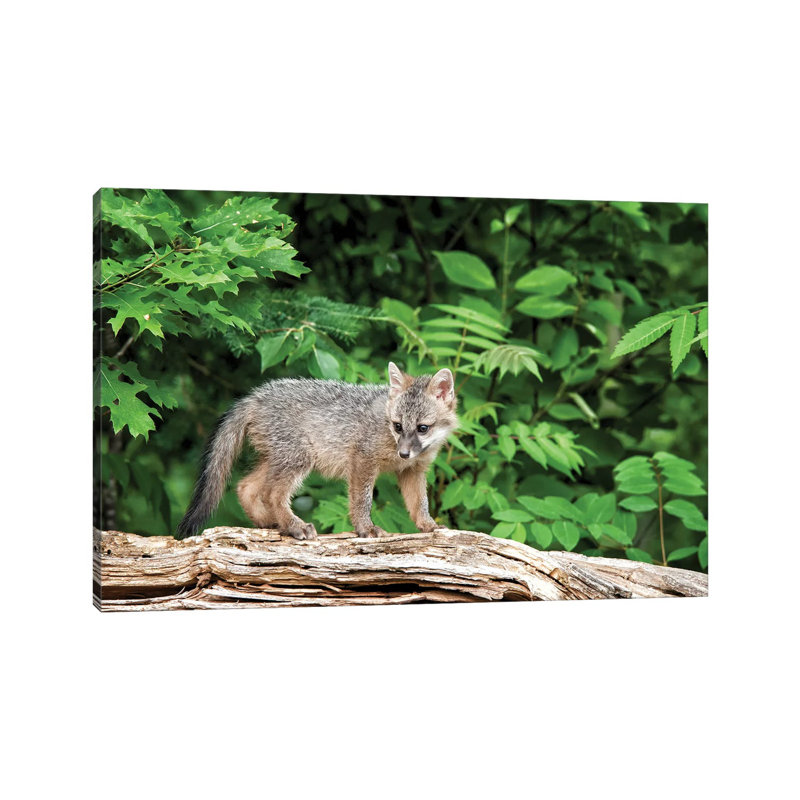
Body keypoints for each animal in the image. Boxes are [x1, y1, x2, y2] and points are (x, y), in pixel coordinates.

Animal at [175, 362, 459, 540]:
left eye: (422, 428)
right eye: (398, 426)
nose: (403, 454)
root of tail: (255, 395)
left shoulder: (413, 471)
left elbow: (419, 504)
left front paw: (429, 526)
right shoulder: (363, 461)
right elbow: (362, 501)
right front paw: (366, 529)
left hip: (280, 459)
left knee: (246, 488)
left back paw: (273, 523)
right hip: (299, 459)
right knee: (272, 494)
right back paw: (294, 526)